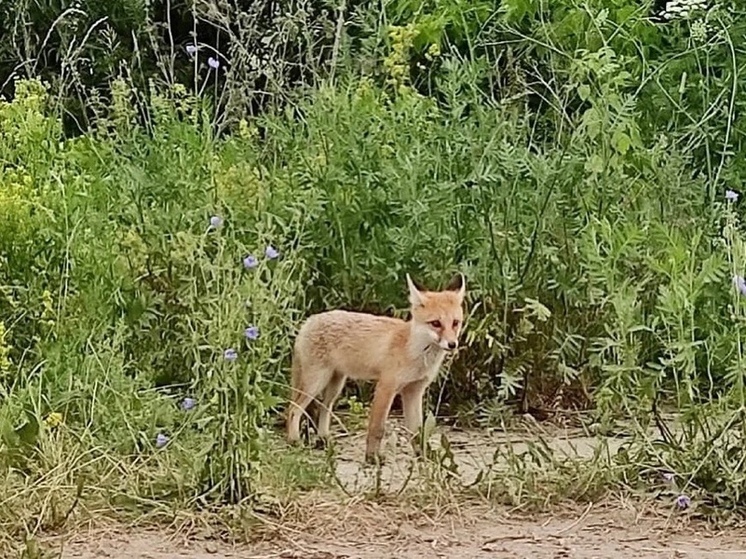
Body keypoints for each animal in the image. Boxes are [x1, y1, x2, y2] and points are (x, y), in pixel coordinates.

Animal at [284, 274, 464, 462]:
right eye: (436, 323)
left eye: (455, 323)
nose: (452, 344)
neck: (413, 352)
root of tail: (309, 320)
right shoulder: (386, 387)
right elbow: (377, 428)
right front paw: (372, 457)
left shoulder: (413, 390)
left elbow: (416, 431)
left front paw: (423, 455)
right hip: (315, 382)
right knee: (293, 409)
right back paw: (294, 441)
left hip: (335, 385)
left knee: (324, 407)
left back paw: (323, 439)